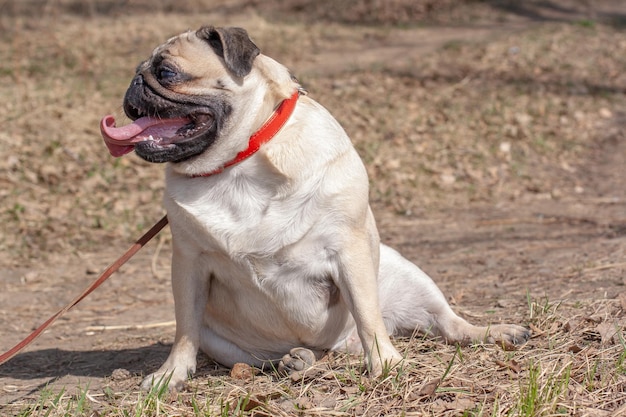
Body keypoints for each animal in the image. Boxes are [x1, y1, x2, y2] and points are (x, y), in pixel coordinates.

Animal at [98, 26, 528, 390]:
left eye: (166, 72)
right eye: (140, 71)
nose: (134, 83)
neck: (240, 162)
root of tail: (340, 346)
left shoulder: (349, 250)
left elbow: (368, 315)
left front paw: (387, 364)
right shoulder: (188, 263)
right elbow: (184, 329)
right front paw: (171, 374)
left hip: (408, 275)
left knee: (447, 323)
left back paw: (497, 332)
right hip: (230, 345)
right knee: (266, 358)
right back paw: (297, 360)